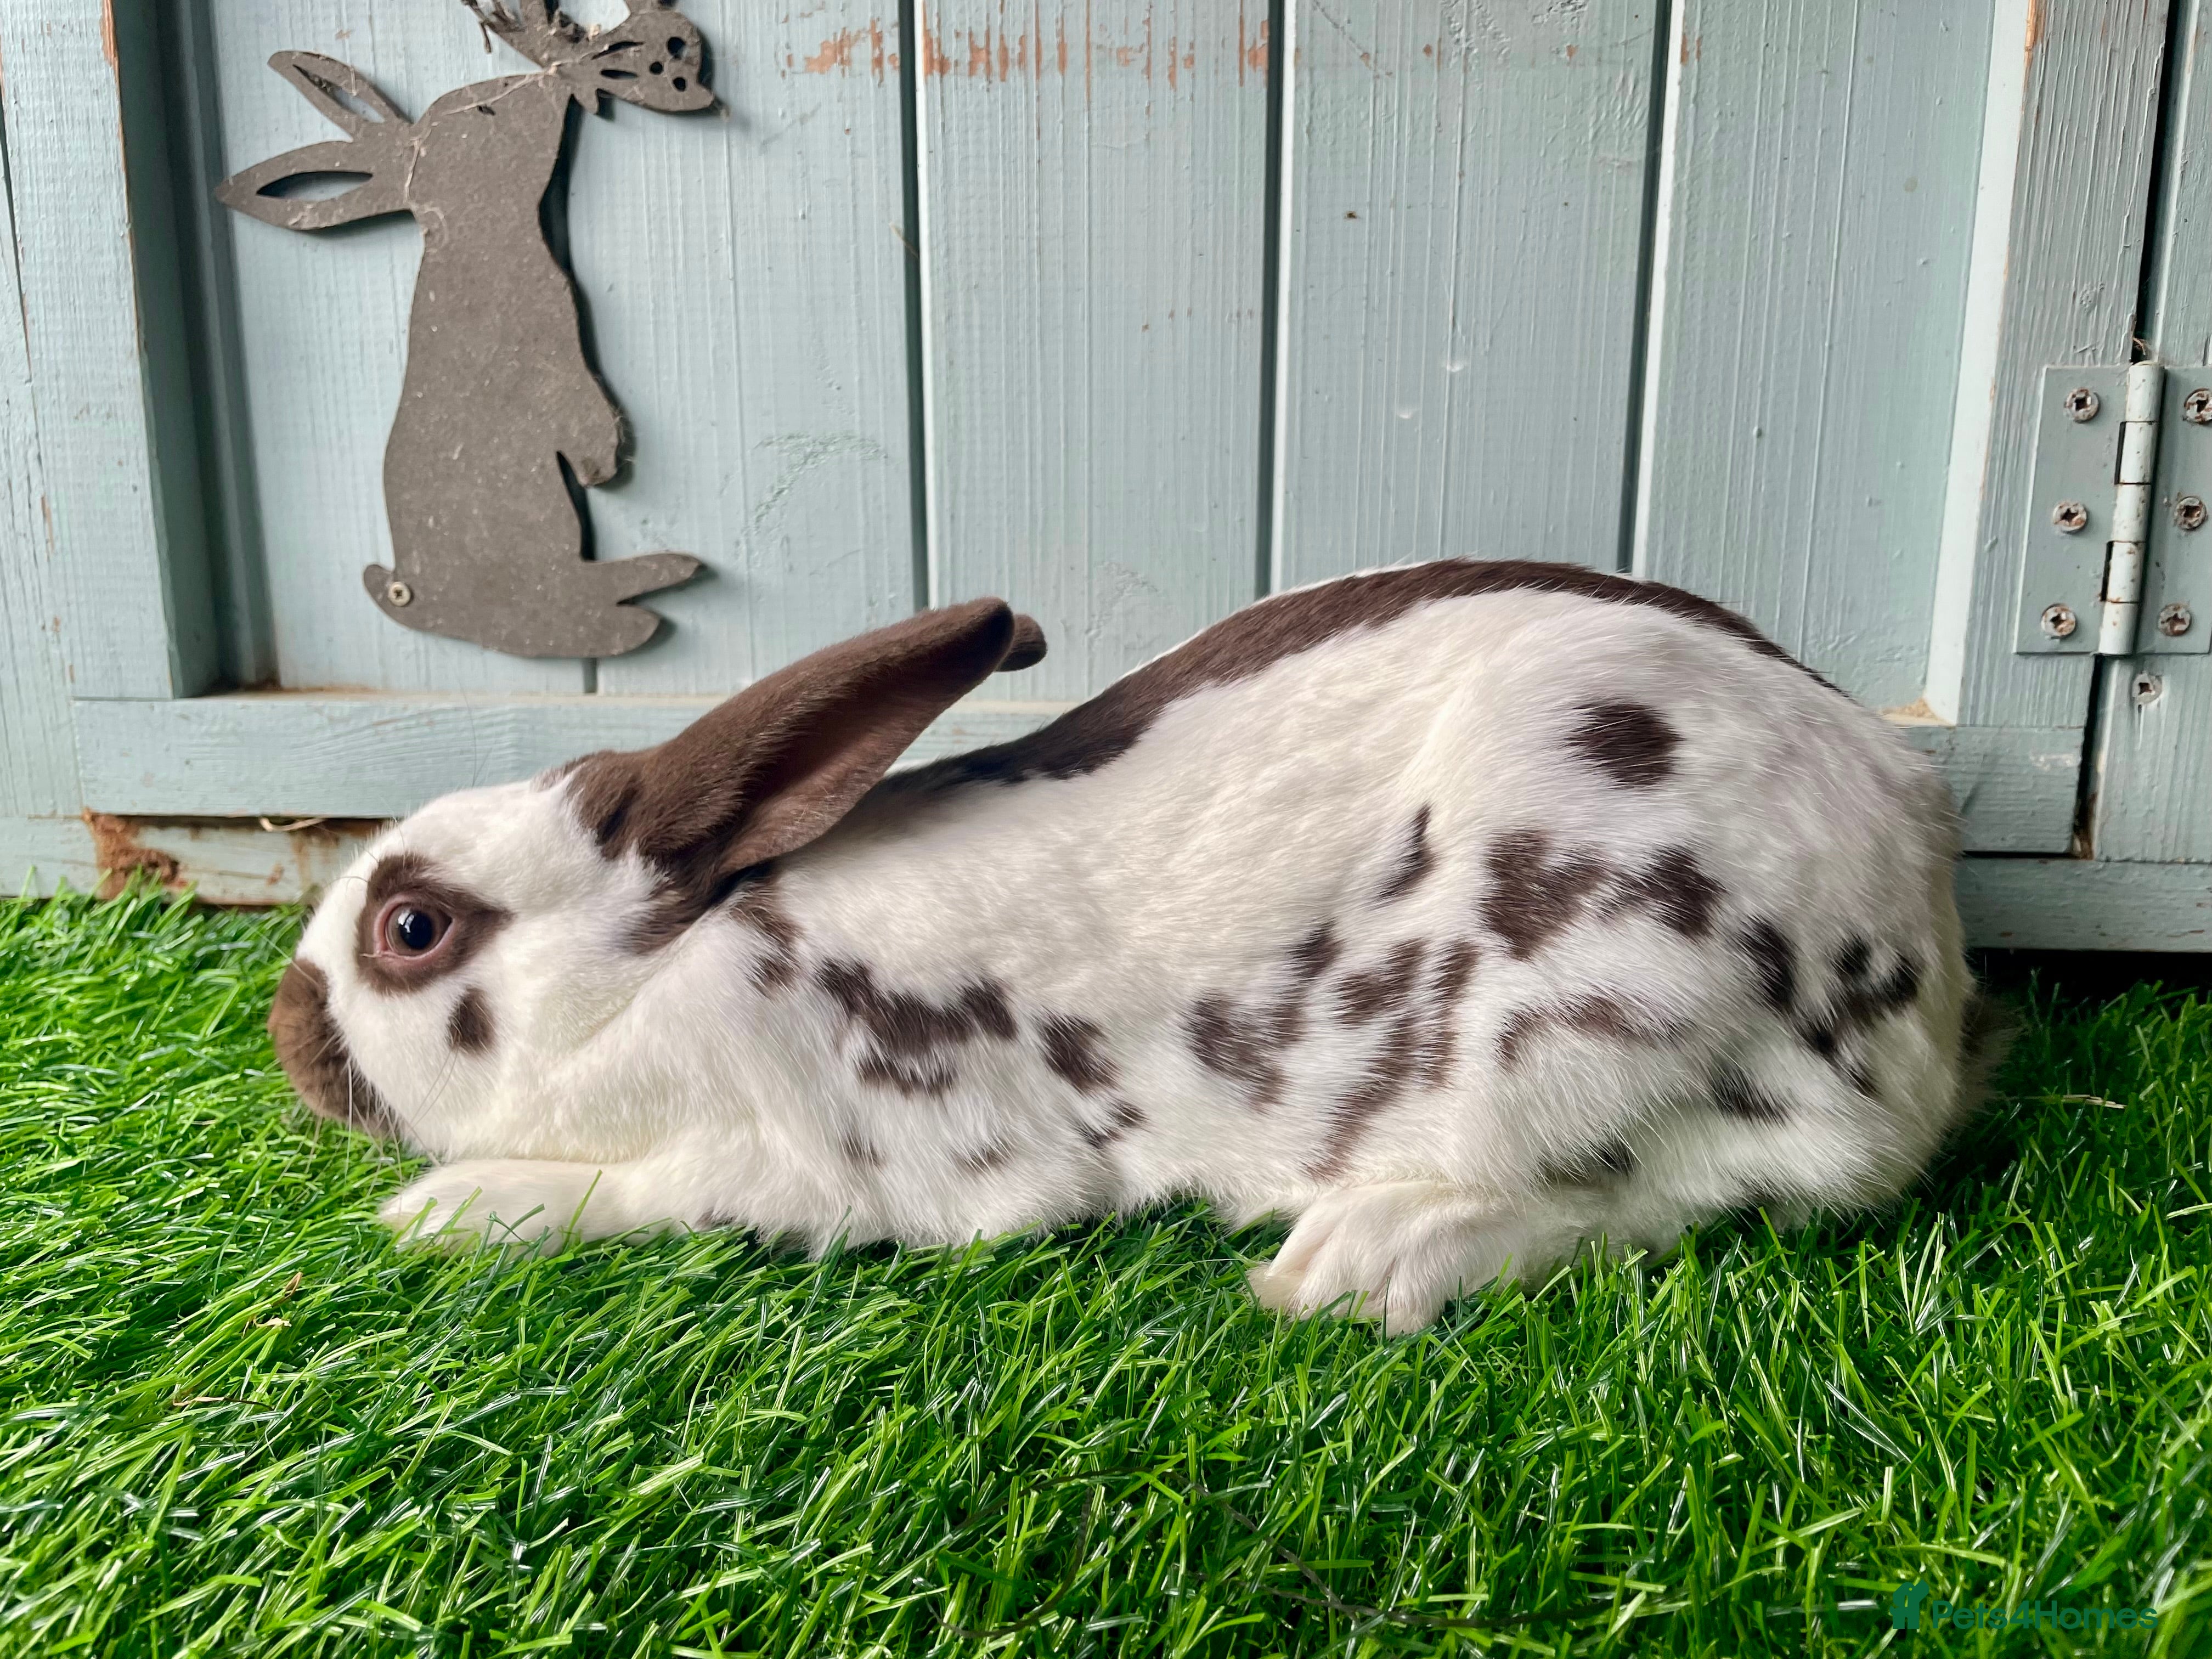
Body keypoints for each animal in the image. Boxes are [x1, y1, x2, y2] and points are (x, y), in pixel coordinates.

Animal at [268, 559, 1984, 1334]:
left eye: (412, 928)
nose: (289, 1032)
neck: (652, 985)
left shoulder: (827, 1164)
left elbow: (636, 1193)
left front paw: (454, 1210)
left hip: (1593, 1036)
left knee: (1660, 1196)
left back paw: (1360, 1259)